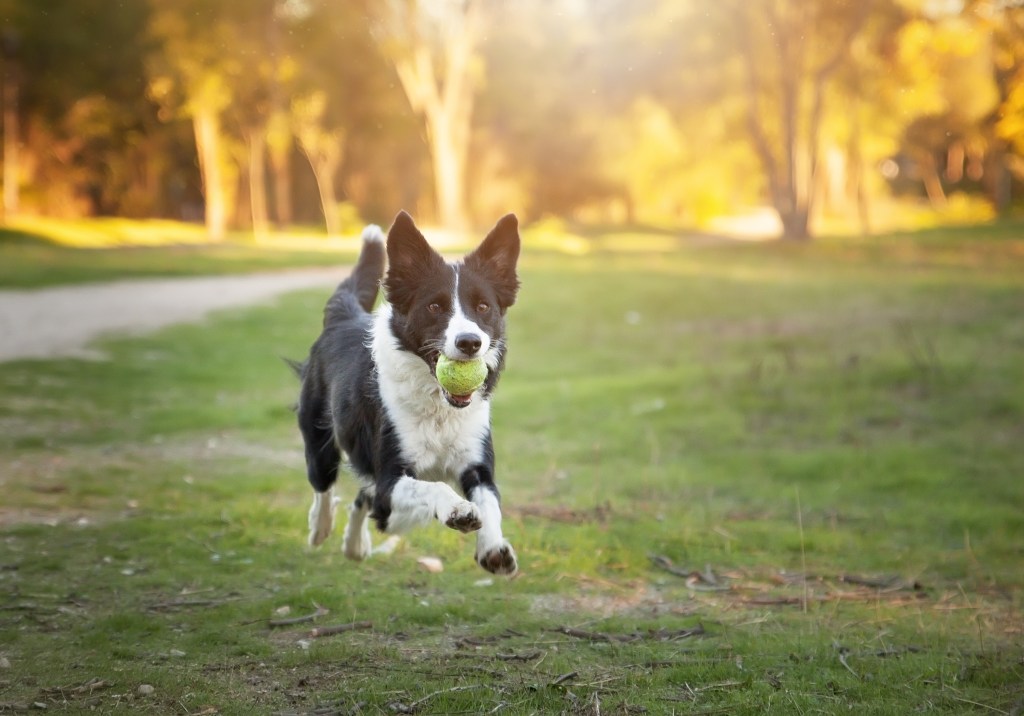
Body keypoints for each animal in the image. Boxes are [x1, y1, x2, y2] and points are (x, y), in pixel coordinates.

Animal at [294, 209, 520, 573]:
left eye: (483, 307)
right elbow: (434, 487)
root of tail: (345, 316)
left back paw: (355, 546)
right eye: (434, 307)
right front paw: (457, 509)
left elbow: (490, 502)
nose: (470, 342)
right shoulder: (390, 480)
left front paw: (493, 548)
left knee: (364, 498)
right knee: (325, 488)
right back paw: (320, 527)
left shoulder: (476, 464)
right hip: (319, 441)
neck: (439, 407)